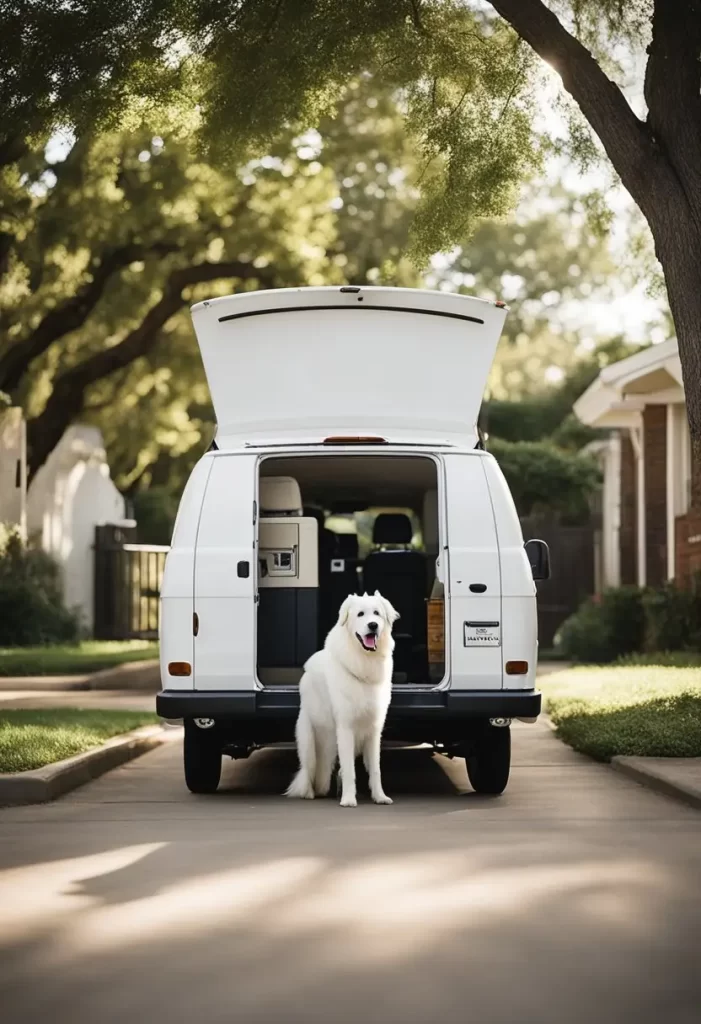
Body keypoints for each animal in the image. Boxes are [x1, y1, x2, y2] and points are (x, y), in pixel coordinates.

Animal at [282, 593, 392, 806]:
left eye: (377, 614)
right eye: (360, 614)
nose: (373, 625)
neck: (363, 661)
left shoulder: (374, 731)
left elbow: (376, 770)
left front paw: (380, 797)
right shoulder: (346, 728)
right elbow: (349, 770)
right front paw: (348, 800)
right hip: (309, 742)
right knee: (307, 770)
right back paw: (308, 792)